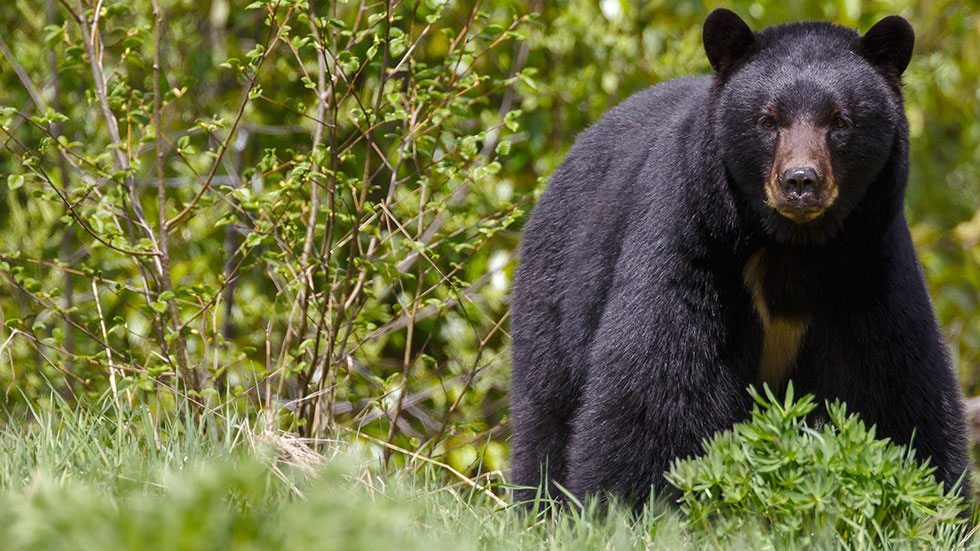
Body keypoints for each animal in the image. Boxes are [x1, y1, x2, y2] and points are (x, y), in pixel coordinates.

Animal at [509, 8, 968, 510]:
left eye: (840, 121)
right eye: (768, 120)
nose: (800, 181)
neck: (792, 247)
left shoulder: (867, 266)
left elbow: (894, 391)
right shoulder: (694, 243)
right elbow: (658, 387)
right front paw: (628, 505)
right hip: (559, 285)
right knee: (546, 411)